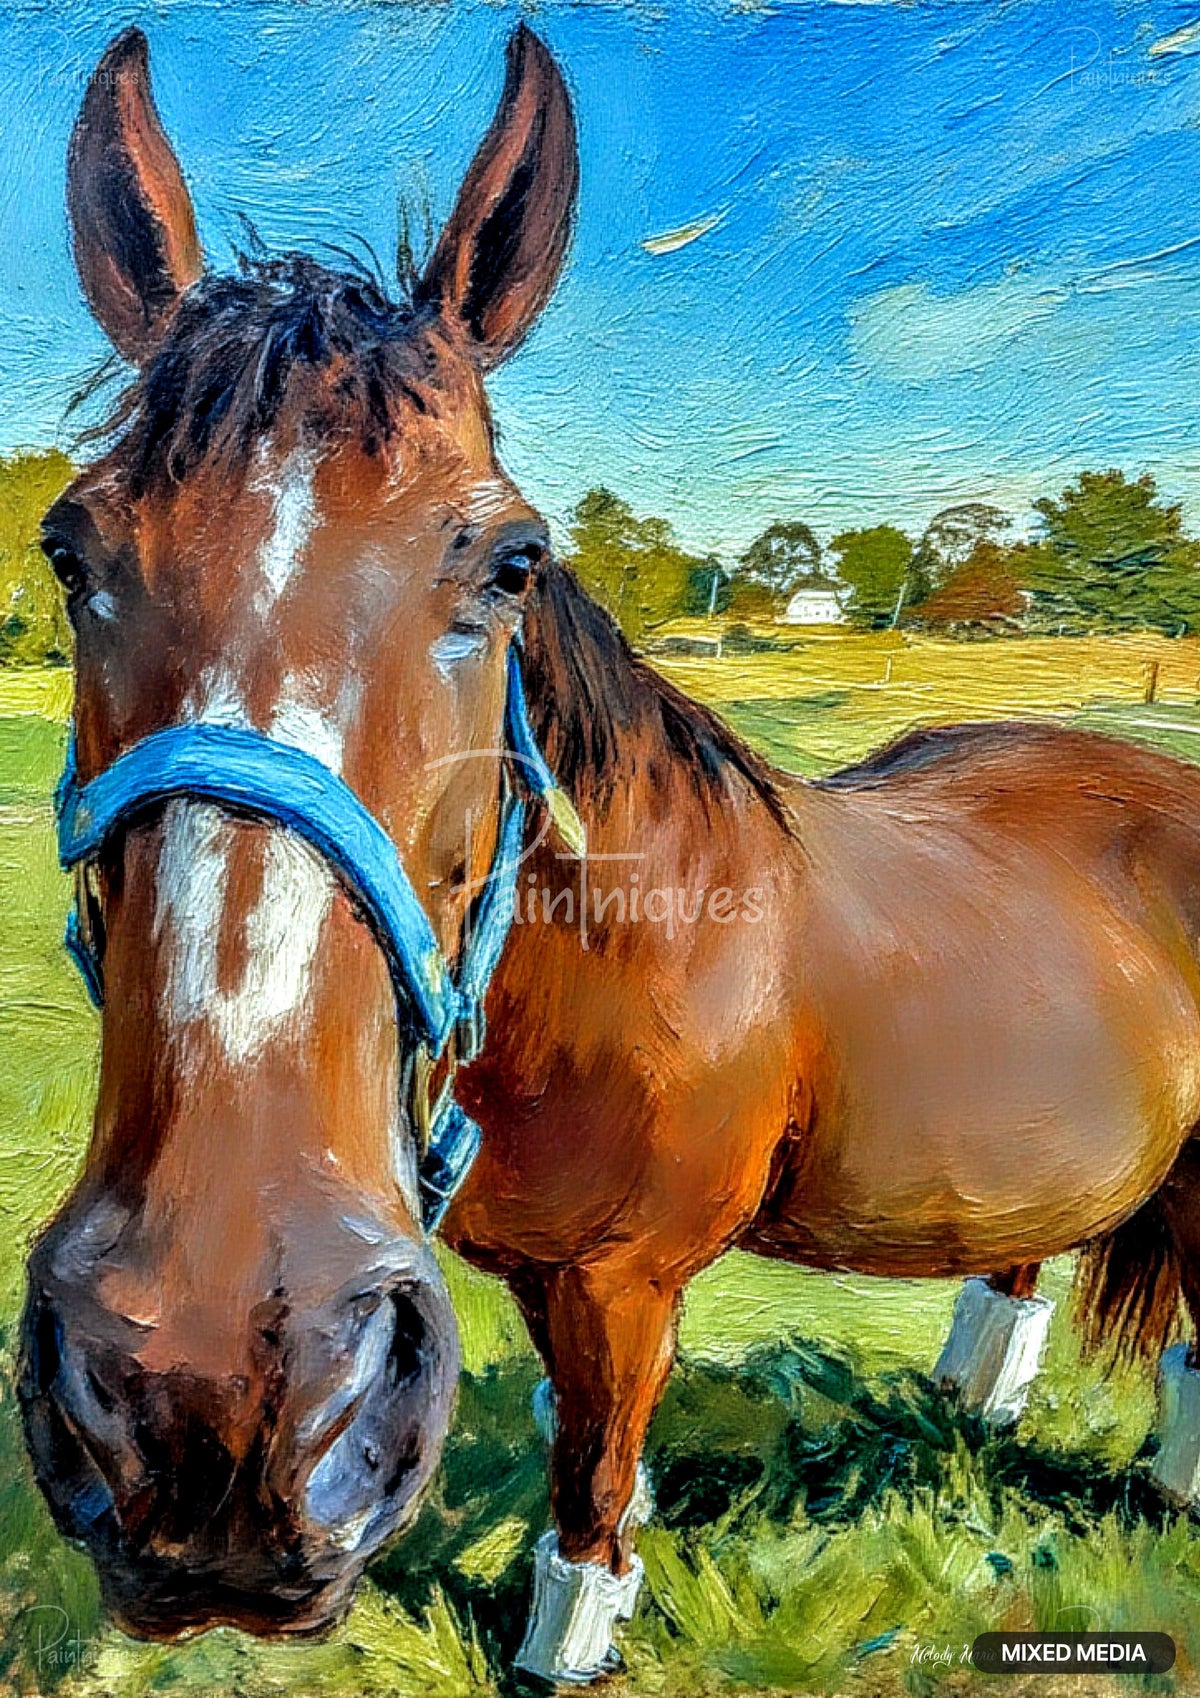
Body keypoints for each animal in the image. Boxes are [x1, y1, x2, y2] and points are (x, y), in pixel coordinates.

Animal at [20, 20, 1200, 1685]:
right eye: (71, 552)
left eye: (512, 562)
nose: (209, 1384)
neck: (621, 950)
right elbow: (565, 1428)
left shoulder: (627, 1281)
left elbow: (594, 1475)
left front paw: (567, 1634)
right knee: (1016, 1257)